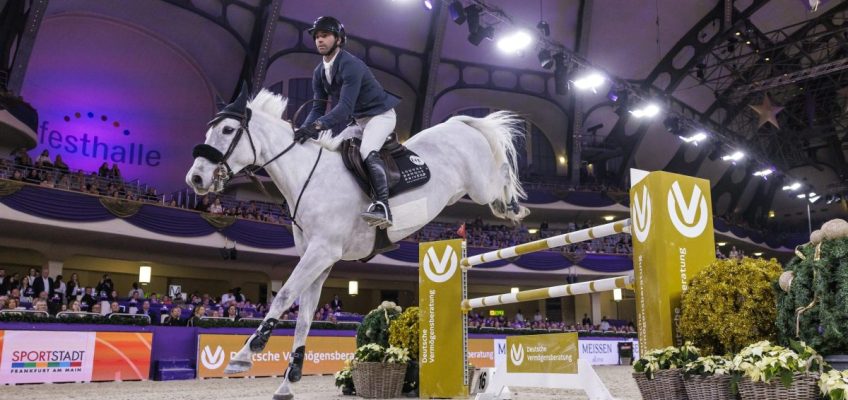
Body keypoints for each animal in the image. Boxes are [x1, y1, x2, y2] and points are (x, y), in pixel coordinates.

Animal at [187, 88, 528, 400]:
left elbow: (283, 296)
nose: (196, 179)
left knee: (501, 174)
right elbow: (305, 315)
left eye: (227, 130)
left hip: (480, 187)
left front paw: (245, 354)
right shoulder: (320, 260)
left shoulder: (322, 251)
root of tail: (459, 123)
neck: (308, 177)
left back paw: (513, 207)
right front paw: (289, 379)